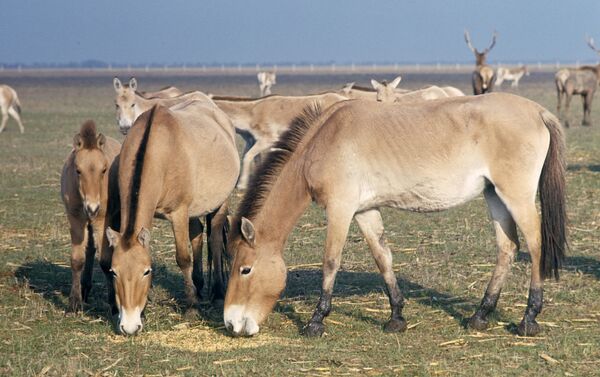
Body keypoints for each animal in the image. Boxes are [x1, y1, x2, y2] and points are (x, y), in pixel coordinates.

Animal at [61, 120, 122, 312]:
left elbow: (105, 261)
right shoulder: (76, 219)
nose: (92, 208)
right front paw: (74, 302)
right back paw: (85, 288)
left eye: (104, 170)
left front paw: (114, 304)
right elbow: (77, 260)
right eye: (78, 170)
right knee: (89, 250)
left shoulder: (103, 220)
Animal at [105, 100, 239, 334]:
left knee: (214, 240)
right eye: (114, 272)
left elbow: (183, 259)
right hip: (194, 210)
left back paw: (217, 293)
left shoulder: (178, 213)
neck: (157, 152)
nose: (129, 326)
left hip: (219, 203)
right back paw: (199, 286)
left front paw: (192, 307)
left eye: (146, 272)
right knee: (197, 235)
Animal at [214, 92, 346, 189]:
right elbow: (253, 158)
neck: (252, 113)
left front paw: (241, 185)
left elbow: (247, 157)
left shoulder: (268, 139)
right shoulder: (253, 140)